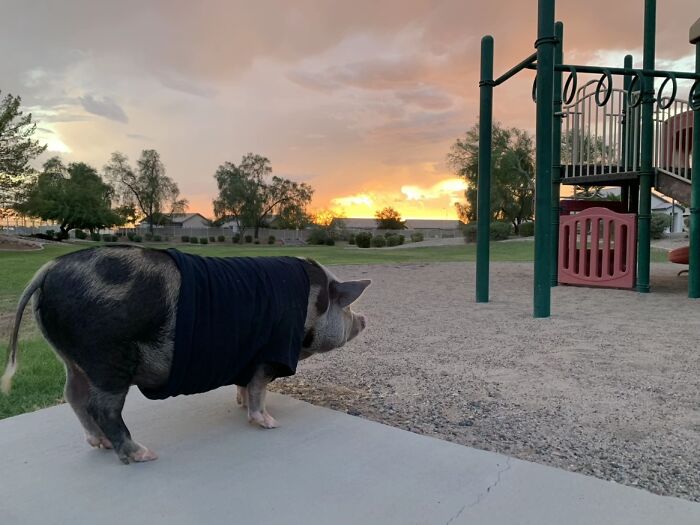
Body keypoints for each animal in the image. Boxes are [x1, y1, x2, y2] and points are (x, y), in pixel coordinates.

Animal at [1, 246, 369, 464]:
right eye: (347, 306)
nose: (364, 320)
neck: (311, 307)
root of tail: (49, 269)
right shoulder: (267, 354)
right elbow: (259, 390)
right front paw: (270, 423)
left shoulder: (248, 357)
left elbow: (245, 386)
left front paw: (239, 405)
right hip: (108, 358)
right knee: (101, 407)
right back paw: (144, 455)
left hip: (70, 357)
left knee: (72, 395)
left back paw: (100, 444)